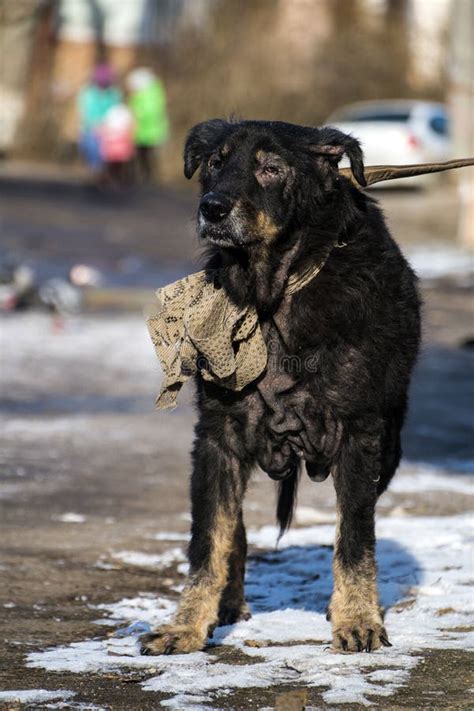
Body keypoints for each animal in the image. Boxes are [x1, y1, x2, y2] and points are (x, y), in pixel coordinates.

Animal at [140, 119, 418, 660]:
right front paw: (185, 625)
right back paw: (228, 602)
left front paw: (357, 619)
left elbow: (355, 537)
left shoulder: (360, 436)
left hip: (391, 448)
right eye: (215, 162)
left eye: (271, 169)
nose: (213, 208)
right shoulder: (216, 438)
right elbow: (209, 539)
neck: (273, 296)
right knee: (235, 530)